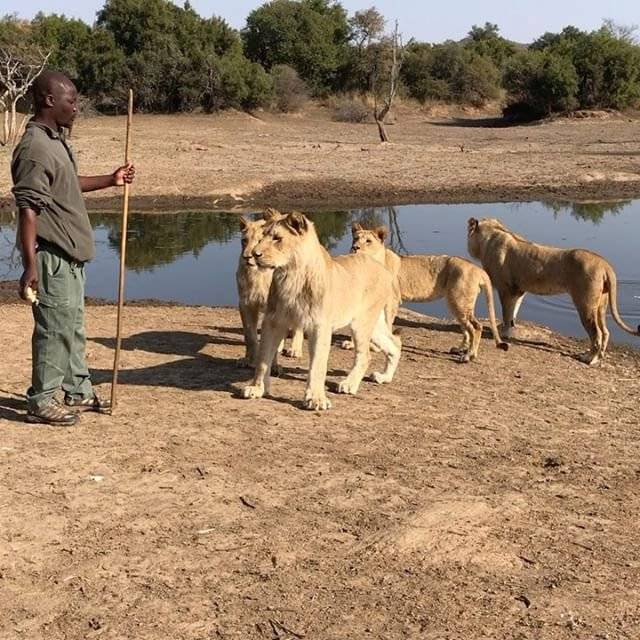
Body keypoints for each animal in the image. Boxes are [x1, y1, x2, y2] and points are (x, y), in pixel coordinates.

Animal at [244, 210, 400, 410]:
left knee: (365, 355)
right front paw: (256, 388)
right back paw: (384, 377)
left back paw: (349, 384)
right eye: (262, 236)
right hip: (374, 324)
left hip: (361, 323)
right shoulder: (273, 321)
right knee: (395, 344)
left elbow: (317, 365)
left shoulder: (320, 327)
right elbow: (264, 359)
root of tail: (376, 263)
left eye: (277, 238)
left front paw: (316, 399)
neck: (291, 275)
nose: (254, 254)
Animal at [350, 222, 510, 362]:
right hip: (456, 303)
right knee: (467, 328)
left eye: (368, 241)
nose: (354, 247)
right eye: (356, 238)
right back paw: (461, 349)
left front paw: (377, 346)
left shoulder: (392, 301)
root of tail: (478, 269)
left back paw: (469, 356)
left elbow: (386, 324)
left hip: (459, 302)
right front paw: (353, 344)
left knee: (476, 327)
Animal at [464, 216, 640, 362]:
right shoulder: (519, 290)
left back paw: (590, 358)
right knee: (605, 332)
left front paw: (504, 332)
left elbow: (507, 313)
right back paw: (601, 355)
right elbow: (513, 311)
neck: (492, 235)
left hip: (585, 304)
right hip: (600, 305)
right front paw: (509, 328)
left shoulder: (505, 288)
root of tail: (605, 264)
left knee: (596, 334)